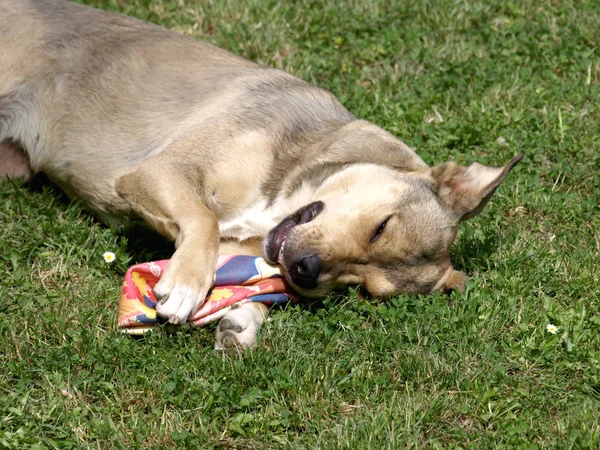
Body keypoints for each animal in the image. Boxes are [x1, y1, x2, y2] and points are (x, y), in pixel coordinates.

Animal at [0, 0, 520, 350]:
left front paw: (241, 321)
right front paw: (186, 285)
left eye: (361, 289)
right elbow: (203, 219)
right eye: (381, 227)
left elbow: (236, 274)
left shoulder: (244, 247)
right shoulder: (158, 171)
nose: (304, 271)